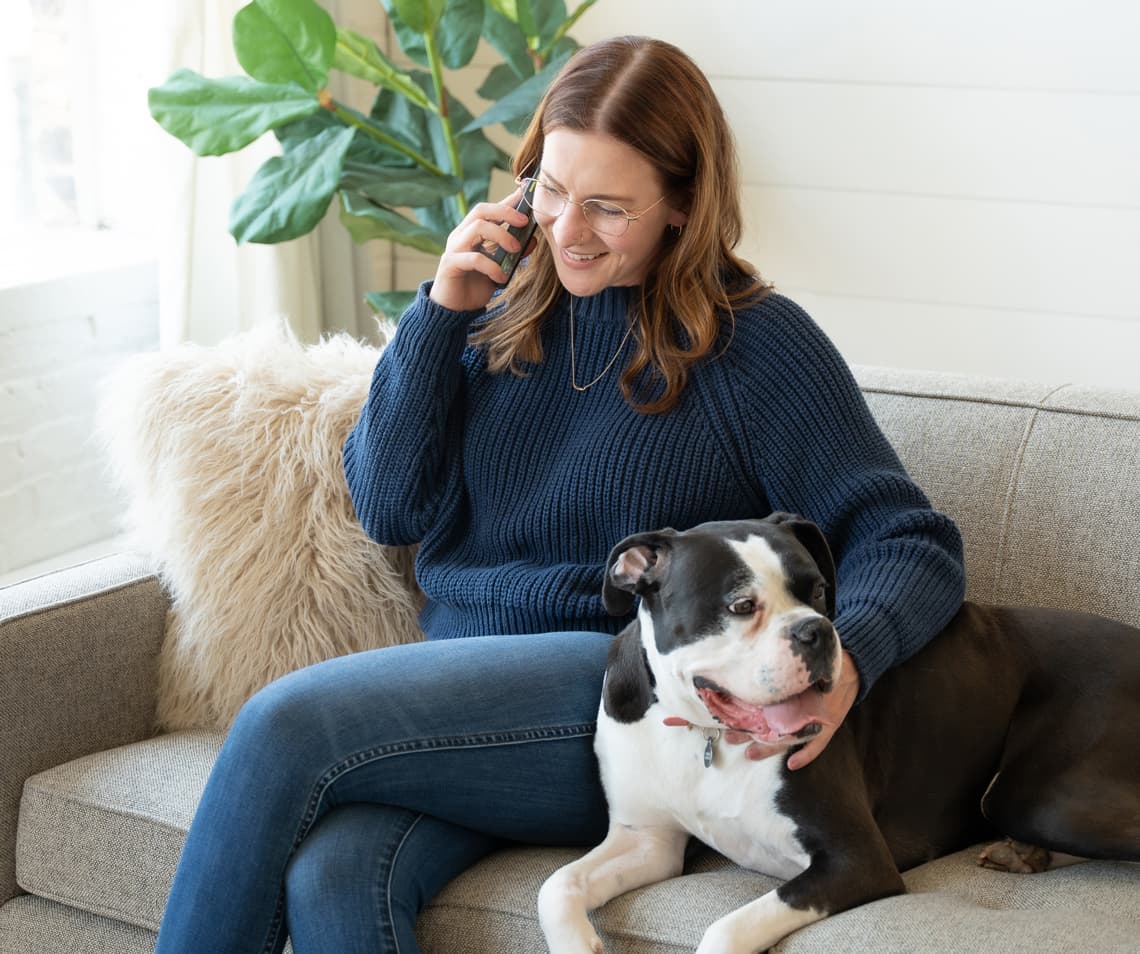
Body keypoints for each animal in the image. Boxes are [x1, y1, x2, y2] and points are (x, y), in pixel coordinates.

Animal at [535, 512, 1140, 952]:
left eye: (820, 591)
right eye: (740, 604)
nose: (816, 630)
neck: (706, 734)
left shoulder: (856, 861)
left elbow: (726, 928)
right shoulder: (648, 841)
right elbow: (556, 884)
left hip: (1037, 798)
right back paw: (1025, 855)